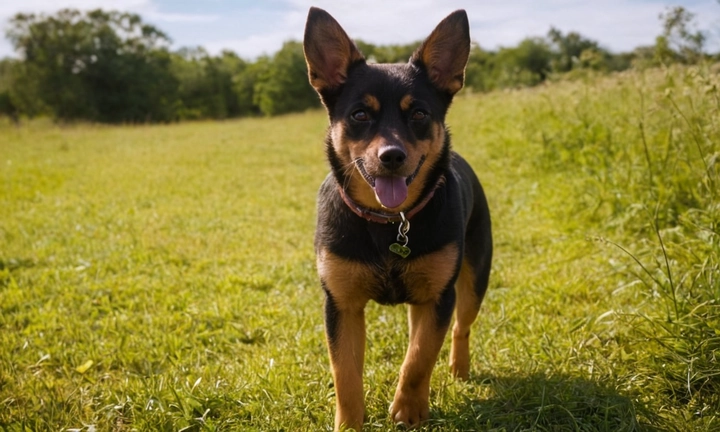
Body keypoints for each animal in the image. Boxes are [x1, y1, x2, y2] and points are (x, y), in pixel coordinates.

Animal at [300, 7, 492, 432]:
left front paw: (408, 409)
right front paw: (349, 424)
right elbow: (345, 374)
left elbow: (419, 358)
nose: (391, 156)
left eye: (419, 113)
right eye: (359, 114)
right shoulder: (341, 304)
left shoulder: (439, 296)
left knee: (461, 328)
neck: (388, 222)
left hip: (474, 279)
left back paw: (459, 369)